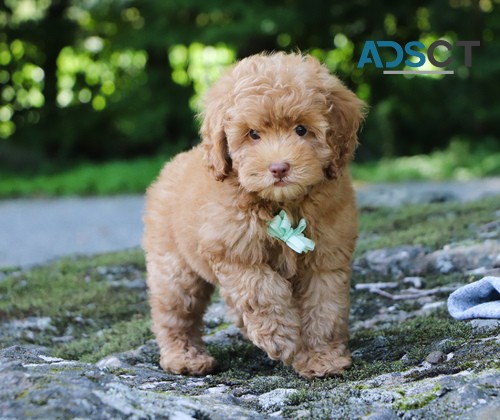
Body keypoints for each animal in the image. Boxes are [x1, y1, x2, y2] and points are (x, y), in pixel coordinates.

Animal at [143, 50, 366, 378]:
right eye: (253, 135)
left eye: (301, 129)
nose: (279, 168)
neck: (281, 204)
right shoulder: (234, 252)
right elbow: (261, 291)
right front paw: (280, 337)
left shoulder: (326, 257)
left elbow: (325, 308)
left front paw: (322, 358)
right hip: (173, 267)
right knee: (175, 313)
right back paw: (185, 358)